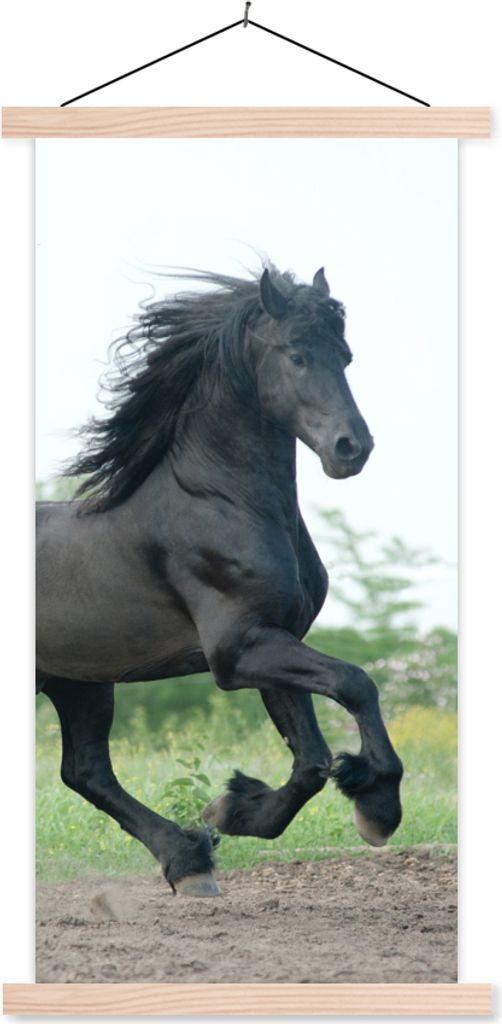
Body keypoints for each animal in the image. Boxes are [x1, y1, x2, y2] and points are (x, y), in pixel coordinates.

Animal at [36, 265, 403, 896]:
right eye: (296, 355)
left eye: (346, 356)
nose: (351, 448)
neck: (219, 501)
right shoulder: (237, 651)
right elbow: (356, 684)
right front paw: (378, 806)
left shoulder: (274, 639)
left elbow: (311, 761)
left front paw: (230, 812)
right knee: (86, 773)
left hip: (81, 682)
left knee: (86, 772)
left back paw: (188, 861)